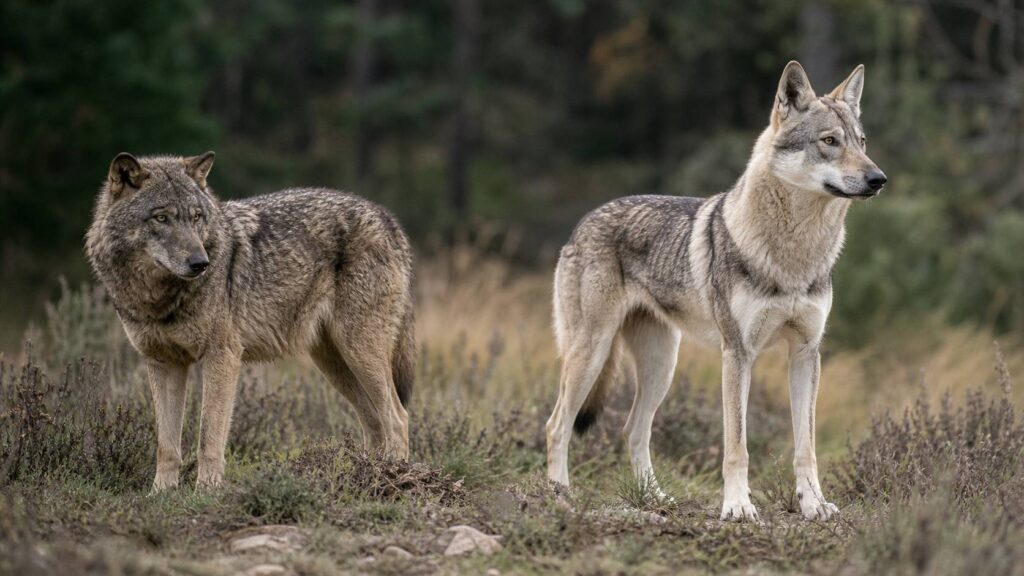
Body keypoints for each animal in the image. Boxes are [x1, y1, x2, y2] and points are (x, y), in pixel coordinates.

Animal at [86, 152, 415, 491]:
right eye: (161, 218)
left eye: (197, 217)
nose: (200, 263)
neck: (158, 299)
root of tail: (387, 218)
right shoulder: (163, 364)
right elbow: (167, 445)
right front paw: (161, 494)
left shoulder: (222, 357)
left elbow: (208, 437)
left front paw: (206, 490)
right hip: (333, 364)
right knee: (375, 420)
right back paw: (368, 476)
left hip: (358, 352)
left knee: (397, 417)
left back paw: (394, 477)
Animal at [544, 61, 886, 521]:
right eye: (830, 141)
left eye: (861, 142)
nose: (878, 179)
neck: (794, 253)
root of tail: (584, 220)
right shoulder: (737, 354)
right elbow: (737, 446)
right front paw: (738, 507)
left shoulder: (806, 353)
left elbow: (806, 447)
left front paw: (814, 504)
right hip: (592, 353)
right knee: (557, 424)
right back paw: (559, 495)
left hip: (661, 367)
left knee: (633, 429)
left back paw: (654, 498)